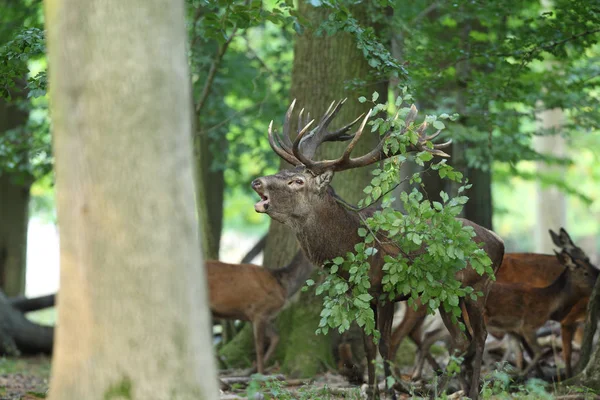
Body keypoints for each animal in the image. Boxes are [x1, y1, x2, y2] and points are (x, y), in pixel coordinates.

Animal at [251, 98, 504, 398]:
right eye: (283, 172)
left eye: (297, 181)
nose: (256, 181)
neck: (349, 247)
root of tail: (500, 243)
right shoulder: (361, 295)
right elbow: (369, 346)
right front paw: (372, 391)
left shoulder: (386, 291)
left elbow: (385, 344)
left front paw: (390, 391)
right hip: (451, 295)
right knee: (464, 339)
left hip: (478, 287)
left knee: (478, 336)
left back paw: (464, 390)